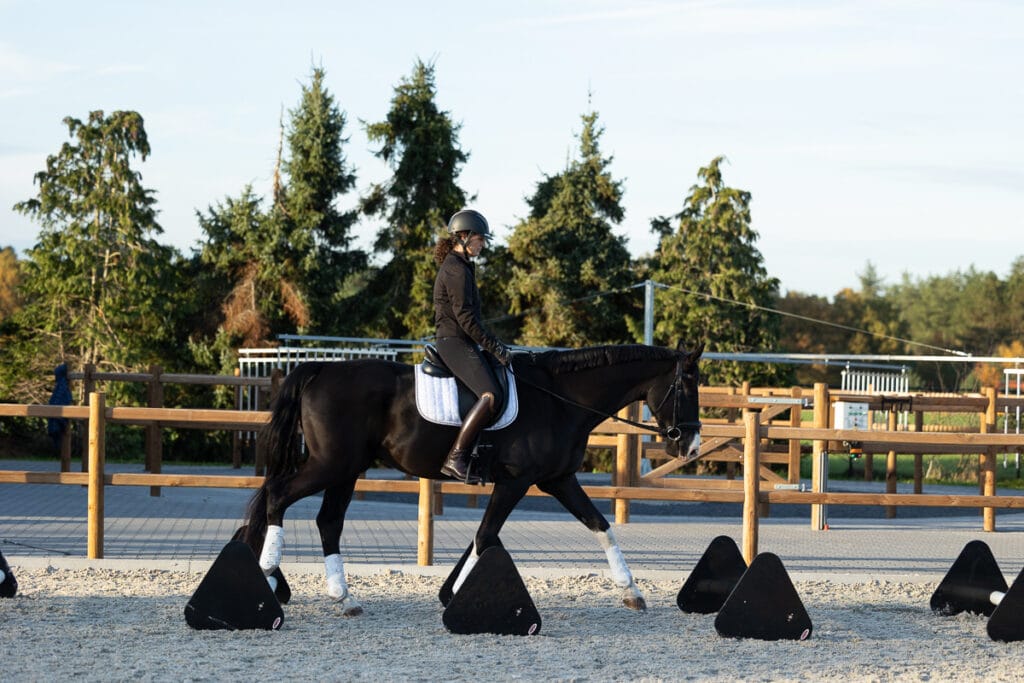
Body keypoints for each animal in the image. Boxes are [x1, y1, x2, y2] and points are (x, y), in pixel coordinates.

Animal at [242, 341, 704, 616]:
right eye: (688, 386)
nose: (692, 445)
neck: (560, 399)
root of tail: (320, 369)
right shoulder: (518, 482)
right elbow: (485, 535)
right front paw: (458, 599)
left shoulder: (558, 480)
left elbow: (599, 525)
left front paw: (632, 591)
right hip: (332, 464)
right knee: (279, 497)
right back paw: (266, 574)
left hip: (347, 469)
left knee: (327, 521)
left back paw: (344, 597)